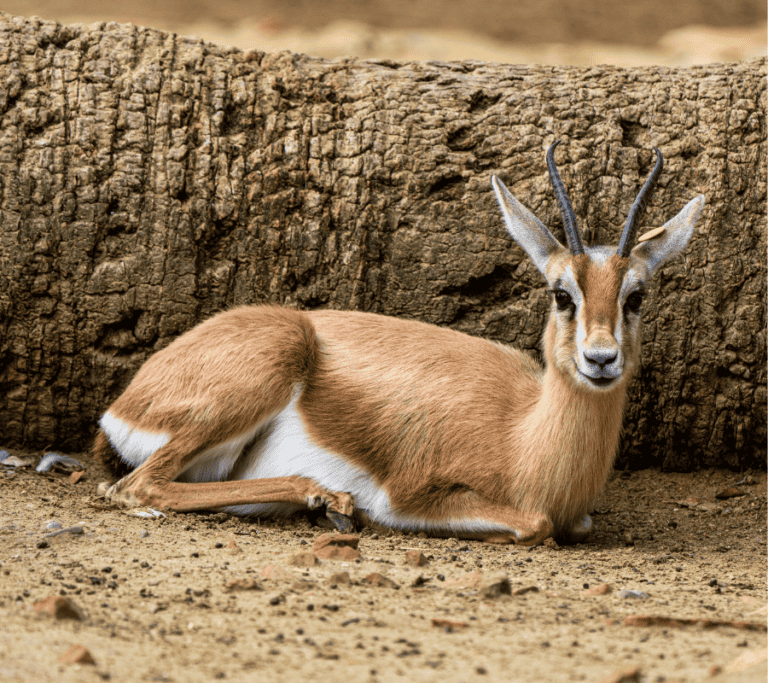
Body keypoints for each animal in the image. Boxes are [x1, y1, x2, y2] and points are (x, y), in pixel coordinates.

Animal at [94, 142, 705, 545]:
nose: (600, 359)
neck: (522, 438)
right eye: (561, 294)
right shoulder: (409, 495)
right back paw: (331, 503)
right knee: (137, 487)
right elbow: (534, 526)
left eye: (636, 296)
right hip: (264, 369)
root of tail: (122, 406)